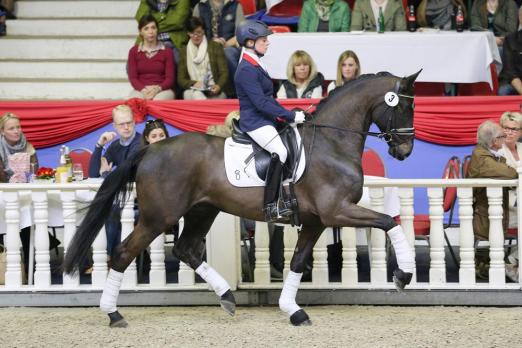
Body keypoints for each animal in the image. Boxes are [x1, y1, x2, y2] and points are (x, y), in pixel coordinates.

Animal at [63, 70, 418, 326]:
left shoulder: (317, 220)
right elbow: (389, 222)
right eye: (403, 106)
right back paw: (113, 313)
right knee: (124, 252)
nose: (405, 151)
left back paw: (227, 297)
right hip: (158, 217)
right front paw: (404, 275)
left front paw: (292, 310)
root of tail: (149, 149)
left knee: (185, 249)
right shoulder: (337, 211)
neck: (332, 142)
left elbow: (297, 261)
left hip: (201, 210)